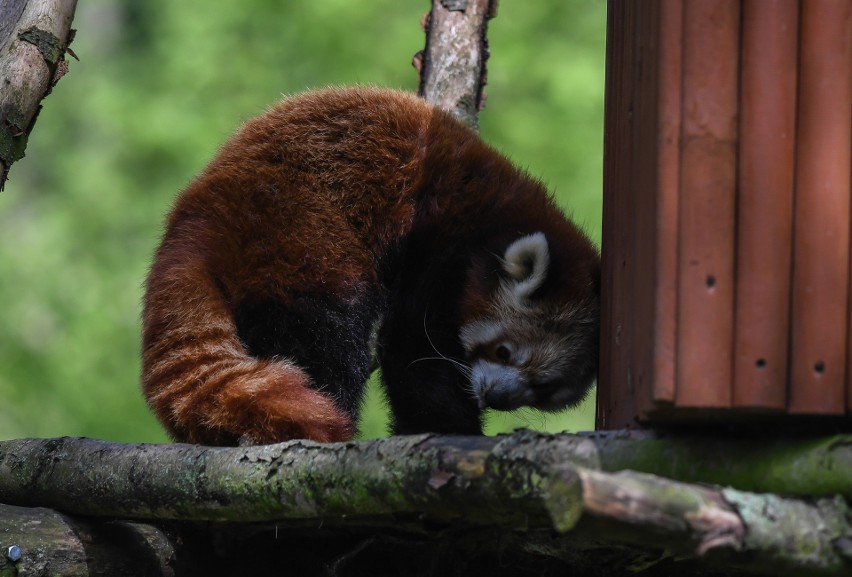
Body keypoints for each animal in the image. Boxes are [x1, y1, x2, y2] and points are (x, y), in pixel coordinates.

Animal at [141, 86, 600, 446]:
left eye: (543, 387)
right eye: (503, 351)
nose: (497, 398)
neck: (497, 216)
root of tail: (196, 215)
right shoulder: (437, 243)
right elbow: (413, 348)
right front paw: (447, 426)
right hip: (299, 230)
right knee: (326, 332)